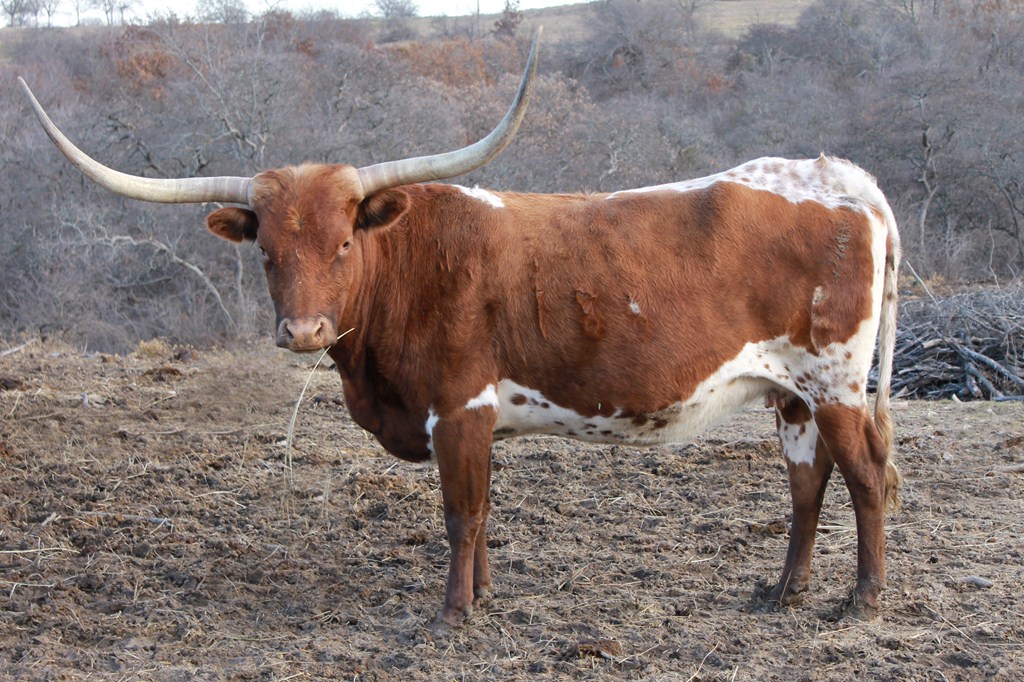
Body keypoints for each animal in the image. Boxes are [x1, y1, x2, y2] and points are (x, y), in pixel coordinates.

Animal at [19, 31, 902, 629]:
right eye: (267, 252)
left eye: (344, 243)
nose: (302, 331)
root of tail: (843, 176)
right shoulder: (475, 420)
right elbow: (481, 516)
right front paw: (482, 595)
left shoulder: (458, 409)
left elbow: (460, 514)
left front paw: (453, 616)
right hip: (791, 393)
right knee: (806, 483)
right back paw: (783, 591)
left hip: (834, 381)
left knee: (863, 476)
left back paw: (861, 601)